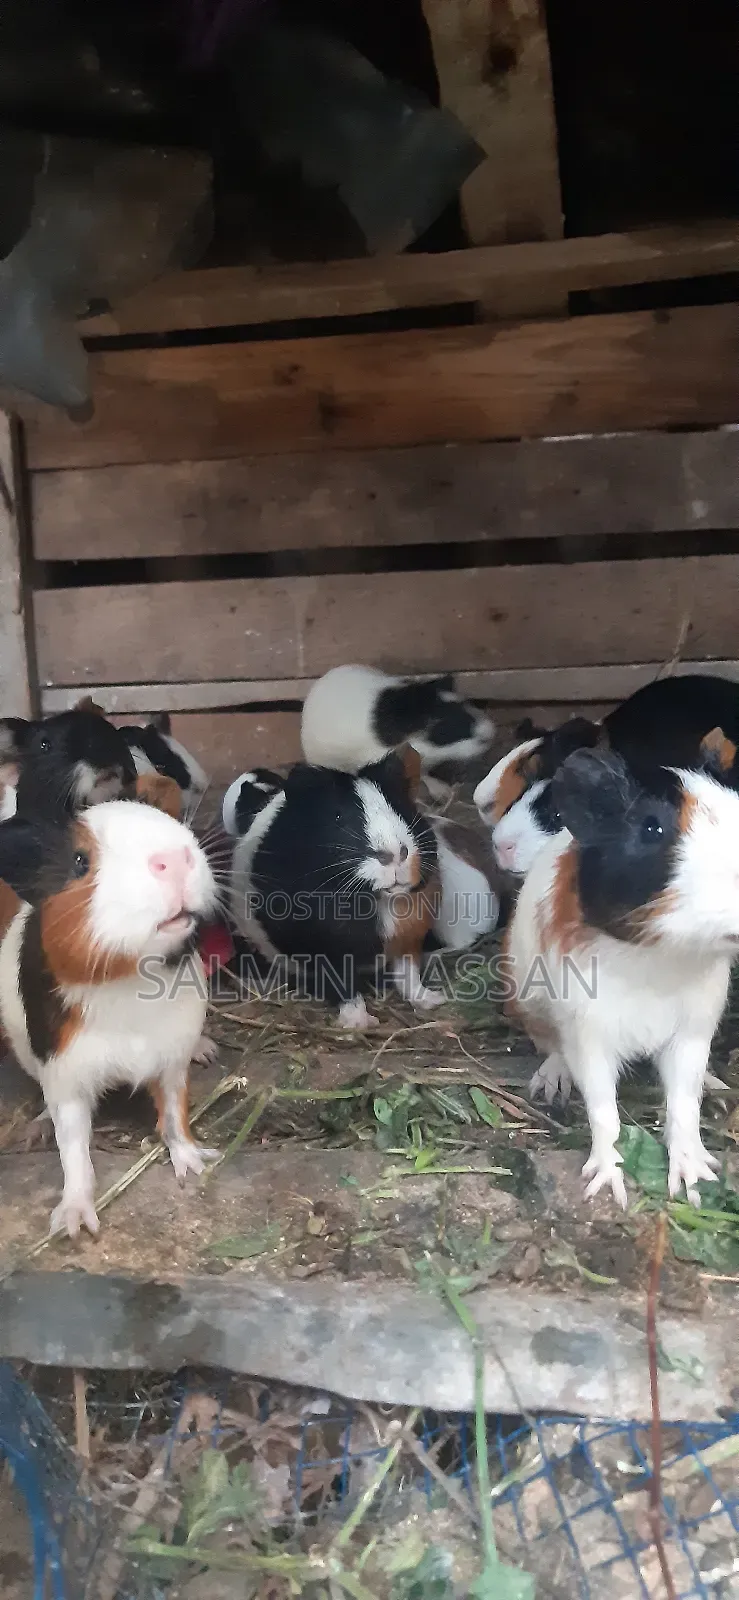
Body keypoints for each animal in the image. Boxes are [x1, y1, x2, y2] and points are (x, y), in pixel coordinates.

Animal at [0, 800, 218, 1236]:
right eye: (79, 861)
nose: (174, 858)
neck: (128, 981)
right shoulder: (65, 1076)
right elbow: (73, 1148)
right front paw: (73, 1226)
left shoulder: (172, 1061)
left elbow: (176, 1117)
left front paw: (195, 1167)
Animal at [229, 754, 442, 1025]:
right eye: (338, 817)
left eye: (400, 808)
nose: (394, 854)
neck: (380, 900)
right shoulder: (329, 951)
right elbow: (345, 987)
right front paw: (361, 1023)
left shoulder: (408, 940)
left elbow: (409, 976)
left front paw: (433, 1001)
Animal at [505, 743, 739, 1208]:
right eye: (651, 827)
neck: (658, 960)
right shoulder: (589, 1036)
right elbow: (603, 1112)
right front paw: (609, 1187)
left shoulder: (692, 1034)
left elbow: (683, 1105)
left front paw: (694, 1182)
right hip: (529, 1002)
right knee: (551, 1050)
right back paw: (550, 1085)